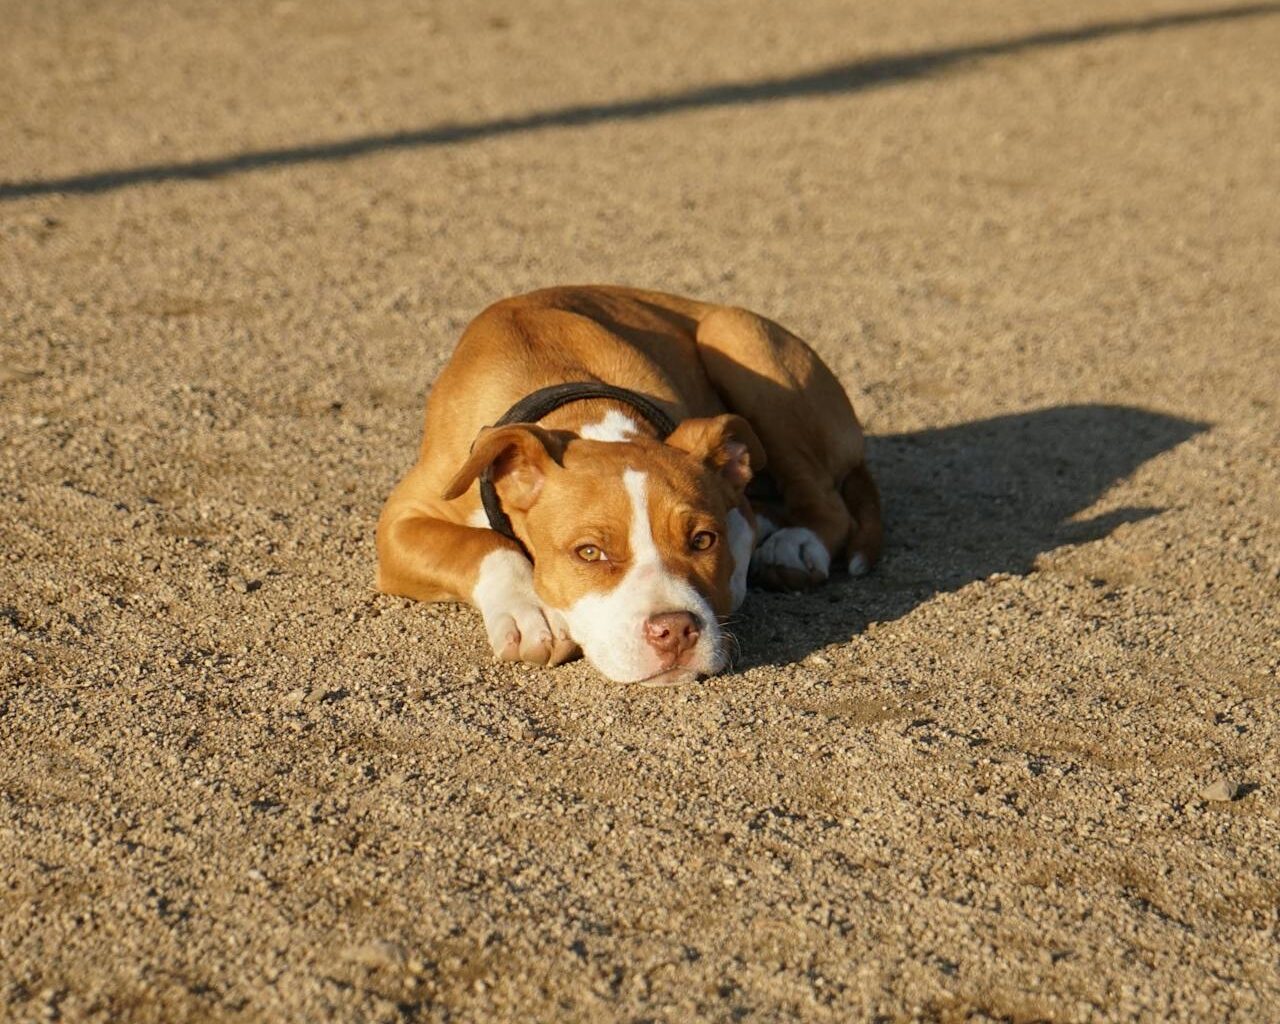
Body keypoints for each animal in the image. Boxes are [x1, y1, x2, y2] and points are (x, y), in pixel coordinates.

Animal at [373, 284, 885, 686]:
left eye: (703, 540)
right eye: (589, 553)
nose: (675, 630)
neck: (581, 411)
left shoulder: (735, 509)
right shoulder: (398, 522)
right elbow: (478, 544)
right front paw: (529, 610)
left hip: (736, 339)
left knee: (826, 501)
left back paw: (794, 546)